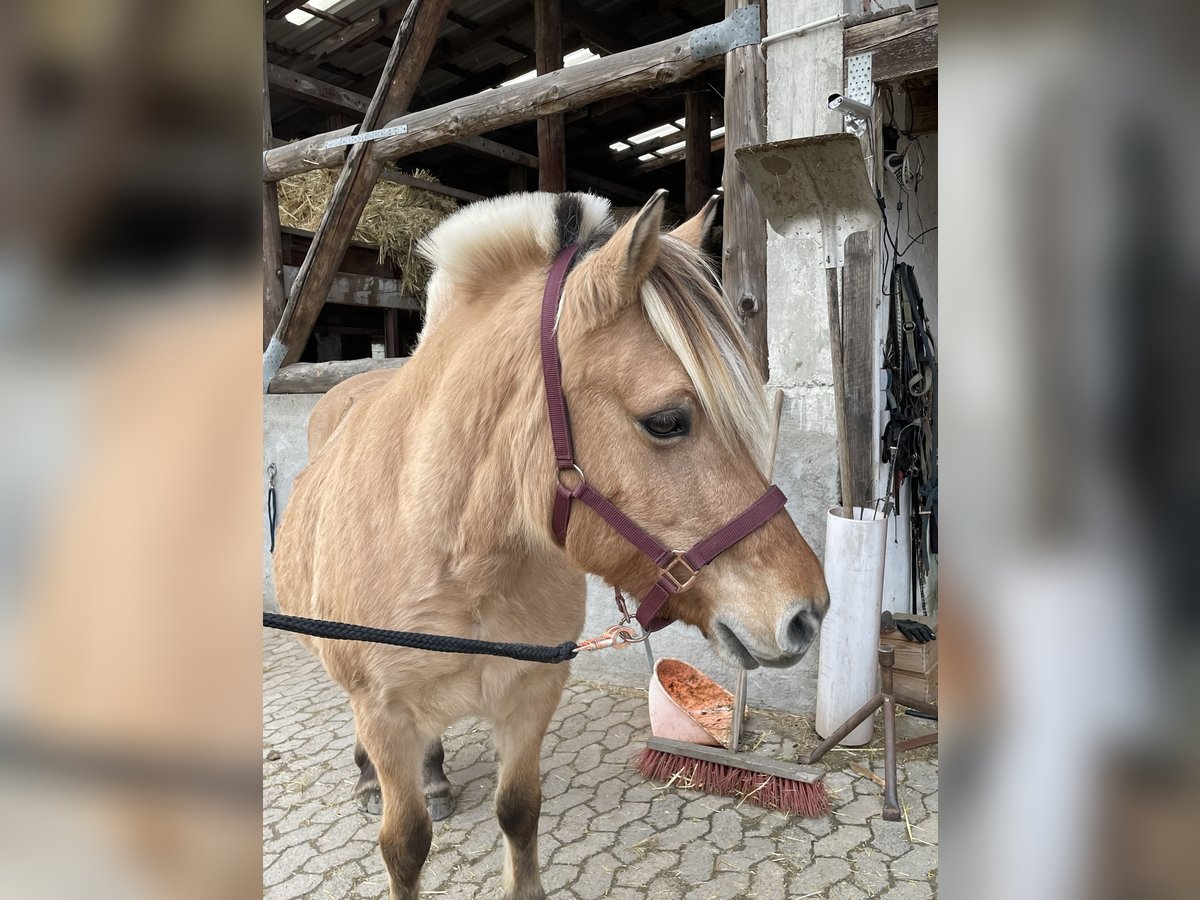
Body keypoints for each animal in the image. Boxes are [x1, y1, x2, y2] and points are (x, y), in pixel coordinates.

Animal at [272, 189, 829, 900]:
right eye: (667, 421)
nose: (807, 613)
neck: (460, 559)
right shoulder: (385, 713)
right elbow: (405, 844)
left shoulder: (531, 696)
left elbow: (519, 811)